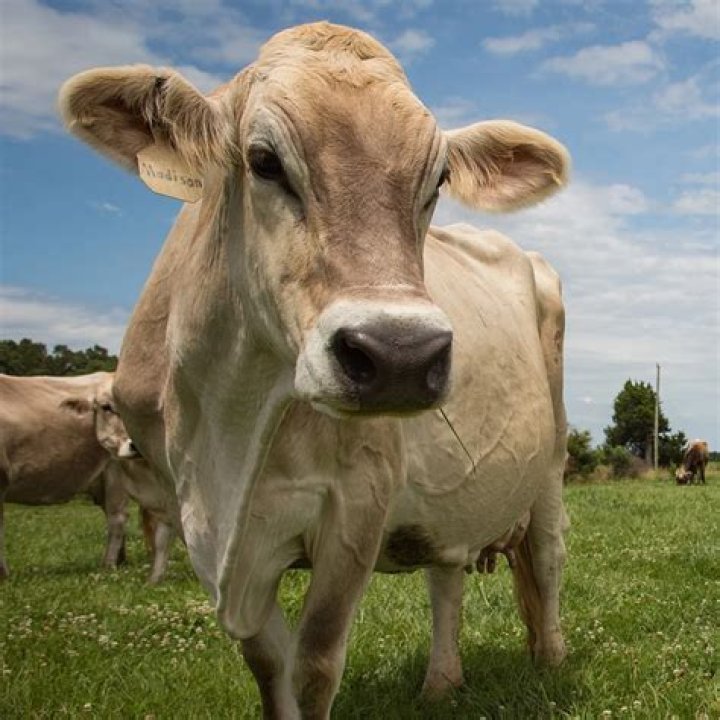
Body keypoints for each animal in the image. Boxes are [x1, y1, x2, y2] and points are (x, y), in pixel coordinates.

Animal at [60, 22, 571, 716]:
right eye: (263, 160)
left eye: (438, 178)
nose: (399, 355)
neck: (233, 423)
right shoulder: (198, 525)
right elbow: (269, 664)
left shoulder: (358, 503)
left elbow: (315, 663)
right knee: (446, 573)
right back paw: (442, 680)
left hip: (552, 459)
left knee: (545, 556)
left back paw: (550, 659)